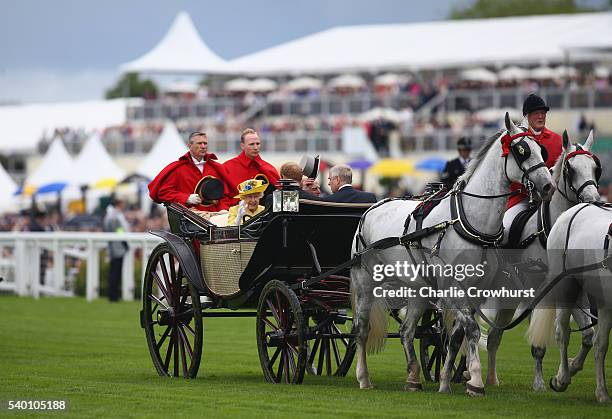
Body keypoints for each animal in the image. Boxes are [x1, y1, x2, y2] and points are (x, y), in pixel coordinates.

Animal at [480, 130, 600, 390]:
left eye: (596, 168)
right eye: (571, 169)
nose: (594, 199)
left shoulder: (574, 291)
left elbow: (588, 335)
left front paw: (569, 369)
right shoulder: (536, 292)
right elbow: (538, 344)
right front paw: (540, 383)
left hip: (508, 298)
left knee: (494, 336)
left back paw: (491, 379)